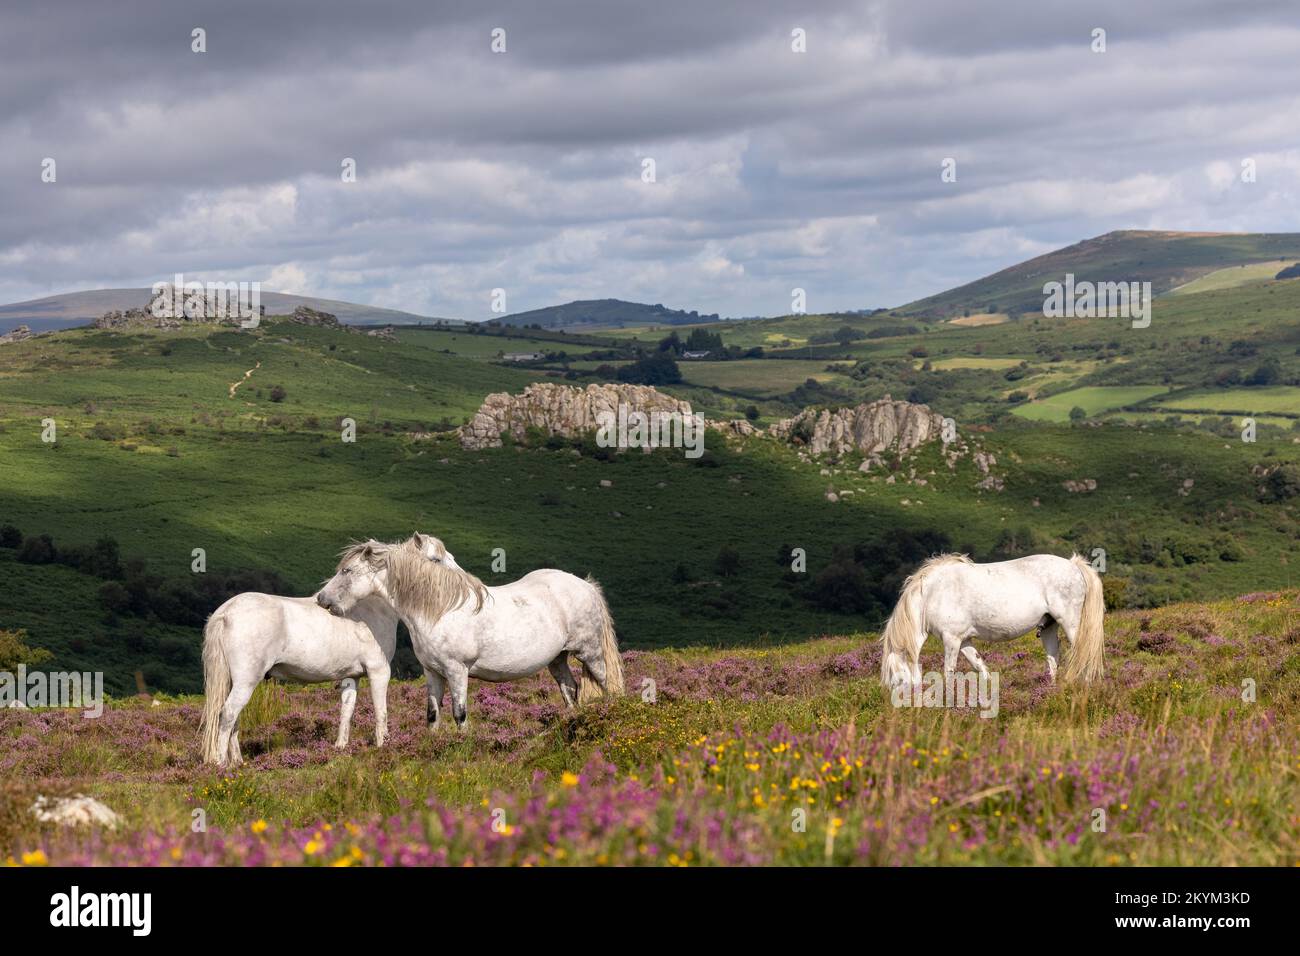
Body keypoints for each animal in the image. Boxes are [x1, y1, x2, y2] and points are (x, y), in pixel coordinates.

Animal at [199, 591, 398, 766]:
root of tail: (226, 612)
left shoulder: (351, 676)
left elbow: (346, 712)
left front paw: (340, 747)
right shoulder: (379, 671)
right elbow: (380, 711)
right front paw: (383, 746)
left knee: (233, 718)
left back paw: (237, 762)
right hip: (246, 682)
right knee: (228, 714)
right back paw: (221, 764)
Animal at [316, 533, 624, 731]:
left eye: (347, 571)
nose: (322, 599)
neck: (440, 611)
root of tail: (585, 586)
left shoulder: (457, 671)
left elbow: (460, 714)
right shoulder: (433, 672)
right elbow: (432, 714)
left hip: (589, 653)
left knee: (607, 684)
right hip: (558, 659)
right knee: (570, 690)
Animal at [879, 553, 1105, 689]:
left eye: (897, 681)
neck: (932, 593)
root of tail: (1073, 565)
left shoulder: (951, 639)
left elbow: (949, 670)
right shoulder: (964, 640)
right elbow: (978, 664)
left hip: (1070, 623)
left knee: (1085, 650)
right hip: (1049, 626)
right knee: (1053, 658)